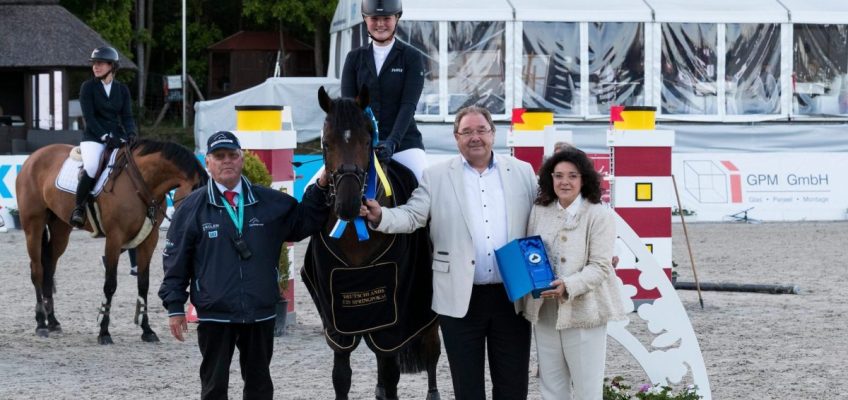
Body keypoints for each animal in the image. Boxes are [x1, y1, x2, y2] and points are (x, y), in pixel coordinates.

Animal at [15, 138, 208, 344]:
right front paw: (104, 332)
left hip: (61, 228)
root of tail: (33, 157)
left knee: (49, 268)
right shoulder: (115, 238)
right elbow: (110, 284)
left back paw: (52, 321)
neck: (142, 182)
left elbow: (143, 284)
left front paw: (147, 330)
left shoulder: (149, 239)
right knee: (37, 270)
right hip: (33, 226)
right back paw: (41, 323)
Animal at [302, 87, 440, 400]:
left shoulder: (395, 311)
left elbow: (392, 373)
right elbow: (342, 376)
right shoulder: (336, 315)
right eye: (326, 143)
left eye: (367, 142)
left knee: (431, 351)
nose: (348, 205)